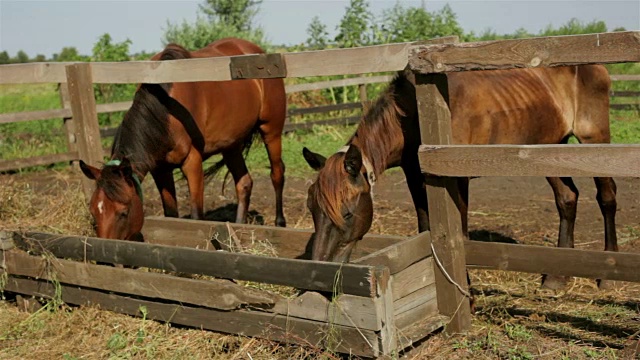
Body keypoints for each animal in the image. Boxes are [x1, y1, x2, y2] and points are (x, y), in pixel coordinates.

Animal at [80, 38, 288, 240]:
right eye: (93, 213)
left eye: (123, 212)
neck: (166, 111)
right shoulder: (160, 170)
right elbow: (171, 215)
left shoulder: (192, 163)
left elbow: (196, 215)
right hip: (231, 144)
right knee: (244, 183)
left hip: (271, 130)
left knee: (276, 173)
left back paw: (280, 223)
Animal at [302, 64, 616, 290]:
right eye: (311, 209)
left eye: (347, 213)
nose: (317, 271)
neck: (414, 113)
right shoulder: (416, 177)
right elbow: (426, 228)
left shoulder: (456, 177)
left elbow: (460, 235)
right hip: (549, 149)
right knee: (567, 198)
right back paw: (557, 278)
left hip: (594, 141)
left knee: (607, 196)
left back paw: (607, 274)